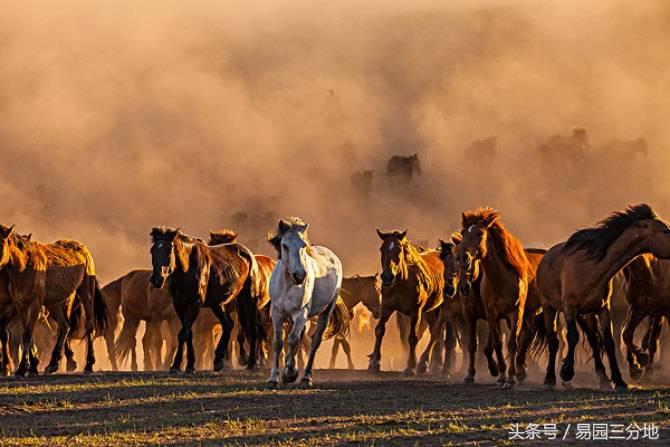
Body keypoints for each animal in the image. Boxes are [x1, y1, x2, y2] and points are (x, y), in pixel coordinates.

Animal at [0, 226, 106, 376]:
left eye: (1, 244)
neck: (24, 267)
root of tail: (83, 249)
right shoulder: (21, 306)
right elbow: (27, 335)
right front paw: (29, 367)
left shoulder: (34, 305)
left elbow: (26, 335)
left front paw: (22, 368)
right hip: (54, 305)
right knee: (64, 326)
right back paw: (52, 364)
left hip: (86, 295)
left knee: (90, 327)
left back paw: (88, 365)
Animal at [150, 226, 262, 372]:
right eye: (152, 251)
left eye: (169, 250)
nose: (157, 279)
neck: (187, 269)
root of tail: (248, 254)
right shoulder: (179, 305)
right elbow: (188, 334)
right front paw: (189, 365)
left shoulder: (195, 304)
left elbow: (183, 333)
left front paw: (176, 366)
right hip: (218, 305)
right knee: (228, 325)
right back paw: (219, 361)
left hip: (249, 299)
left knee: (252, 328)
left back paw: (251, 363)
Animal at [268, 219, 352, 386]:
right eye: (284, 245)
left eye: (303, 245)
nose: (300, 275)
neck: (288, 286)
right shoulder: (277, 313)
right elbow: (278, 342)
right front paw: (274, 377)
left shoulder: (301, 314)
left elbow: (293, 340)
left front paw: (289, 373)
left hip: (325, 313)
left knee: (314, 342)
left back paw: (306, 377)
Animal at [372, 229, 446, 376]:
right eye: (382, 248)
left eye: (399, 249)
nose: (387, 276)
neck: (401, 282)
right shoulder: (386, 307)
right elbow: (379, 330)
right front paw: (374, 363)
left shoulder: (415, 311)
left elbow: (412, 337)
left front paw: (410, 366)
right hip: (430, 311)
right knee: (435, 331)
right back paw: (432, 363)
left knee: (436, 333)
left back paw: (425, 363)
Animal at [540, 204, 670, 392]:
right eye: (665, 231)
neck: (592, 268)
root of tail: (545, 257)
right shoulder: (569, 308)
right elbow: (572, 337)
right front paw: (566, 371)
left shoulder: (602, 309)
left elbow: (609, 342)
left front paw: (621, 379)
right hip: (550, 309)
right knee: (553, 340)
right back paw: (549, 379)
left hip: (588, 313)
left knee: (594, 341)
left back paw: (603, 380)